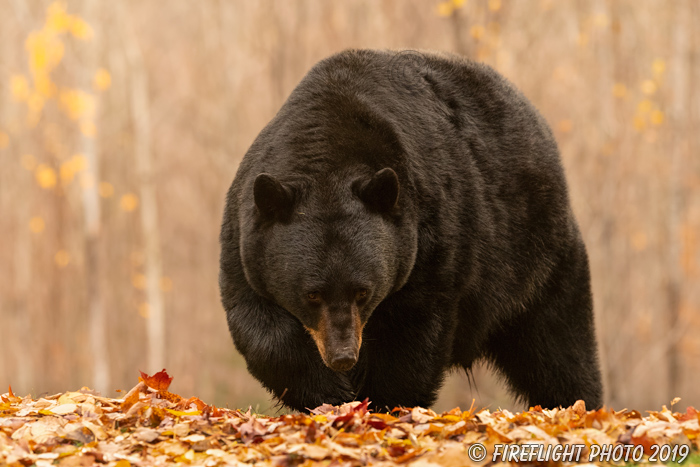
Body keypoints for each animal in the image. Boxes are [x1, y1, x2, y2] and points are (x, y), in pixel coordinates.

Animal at [219, 49, 600, 412]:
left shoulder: (428, 242)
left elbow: (412, 335)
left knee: (558, 343)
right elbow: (259, 325)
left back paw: (578, 404)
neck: (326, 147)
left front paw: (381, 403)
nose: (343, 357)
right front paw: (328, 392)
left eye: (362, 291)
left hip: (534, 257)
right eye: (312, 294)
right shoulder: (246, 241)